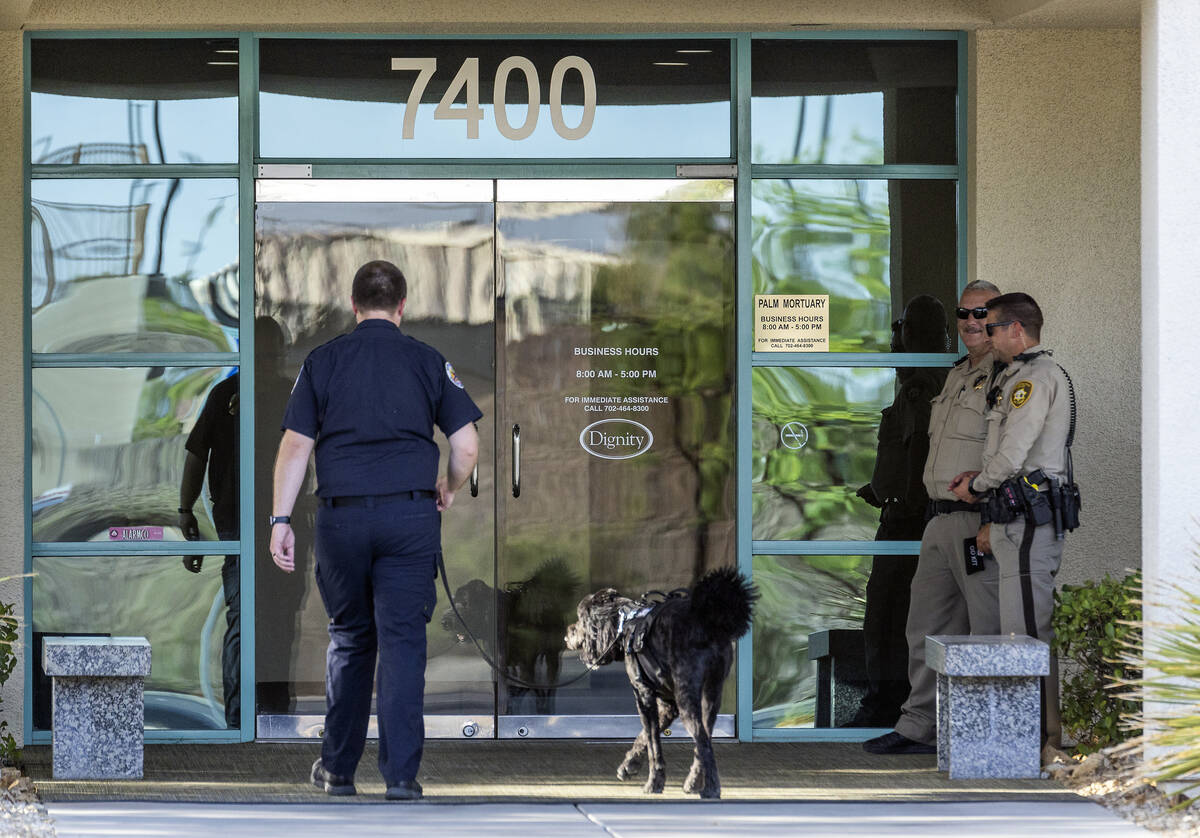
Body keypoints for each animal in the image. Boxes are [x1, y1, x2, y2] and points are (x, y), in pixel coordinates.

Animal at [564, 564, 753, 801]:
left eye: (581, 619)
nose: (567, 633)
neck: (625, 623)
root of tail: (708, 620)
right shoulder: (667, 705)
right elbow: (644, 736)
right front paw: (629, 766)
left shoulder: (643, 695)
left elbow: (653, 742)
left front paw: (654, 783)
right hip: (712, 694)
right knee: (706, 737)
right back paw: (694, 782)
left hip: (687, 696)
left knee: (702, 740)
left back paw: (710, 788)